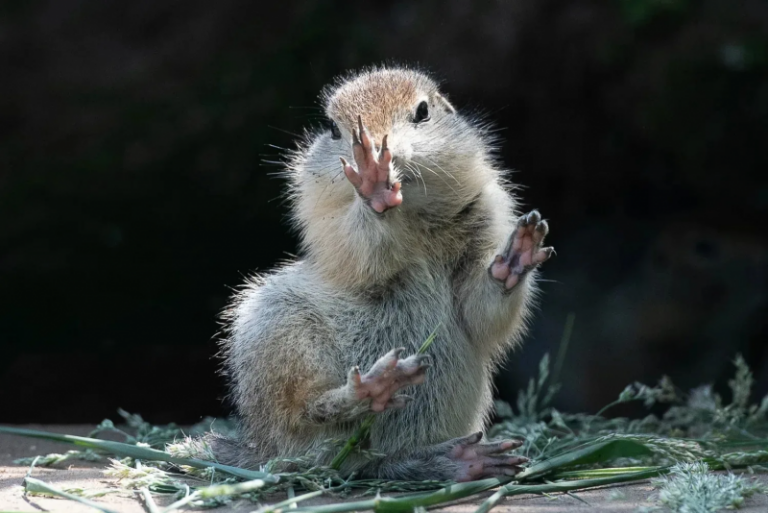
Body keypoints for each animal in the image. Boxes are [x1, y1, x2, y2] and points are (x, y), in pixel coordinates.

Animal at [214, 66, 554, 482]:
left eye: (423, 112)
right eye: (332, 128)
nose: (376, 147)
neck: (412, 213)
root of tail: (260, 448)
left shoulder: (485, 212)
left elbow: (480, 310)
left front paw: (515, 256)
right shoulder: (324, 218)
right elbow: (357, 249)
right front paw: (374, 187)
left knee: (387, 463)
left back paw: (458, 459)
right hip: (276, 331)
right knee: (306, 414)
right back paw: (368, 389)